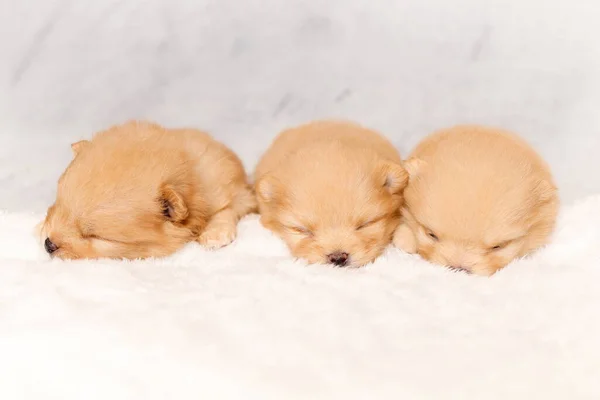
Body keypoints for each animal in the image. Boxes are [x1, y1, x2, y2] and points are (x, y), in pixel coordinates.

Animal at [39, 120, 255, 260]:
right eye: (58, 207)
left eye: (94, 236)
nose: (48, 244)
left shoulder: (236, 189)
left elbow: (228, 208)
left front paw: (215, 234)